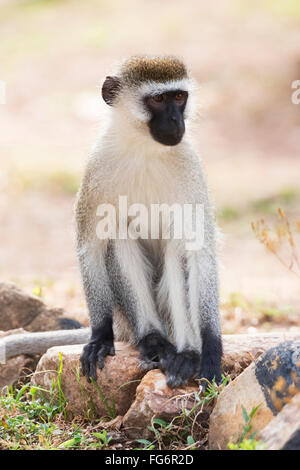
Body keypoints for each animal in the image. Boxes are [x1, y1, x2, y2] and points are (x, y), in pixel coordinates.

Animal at [75, 55, 220, 388]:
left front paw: (211, 347)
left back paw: (186, 355)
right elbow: (90, 246)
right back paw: (153, 340)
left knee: (176, 247)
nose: (176, 121)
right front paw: (99, 336)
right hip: (125, 319)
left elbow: (199, 252)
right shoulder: (97, 168)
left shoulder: (191, 168)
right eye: (157, 100)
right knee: (117, 231)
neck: (144, 148)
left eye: (178, 97)